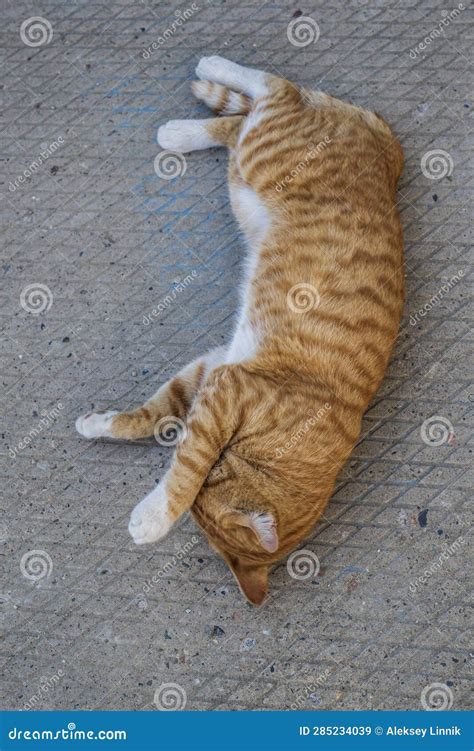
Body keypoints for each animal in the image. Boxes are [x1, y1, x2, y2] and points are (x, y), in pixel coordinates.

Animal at [77, 57, 404, 604]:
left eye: (204, 516)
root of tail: (386, 147)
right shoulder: (226, 389)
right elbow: (182, 460)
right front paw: (156, 511)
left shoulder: (216, 371)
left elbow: (156, 418)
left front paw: (105, 431)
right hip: (266, 151)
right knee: (274, 88)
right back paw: (211, 73)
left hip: (247, 166)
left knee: (239, 122)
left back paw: (180, 131)